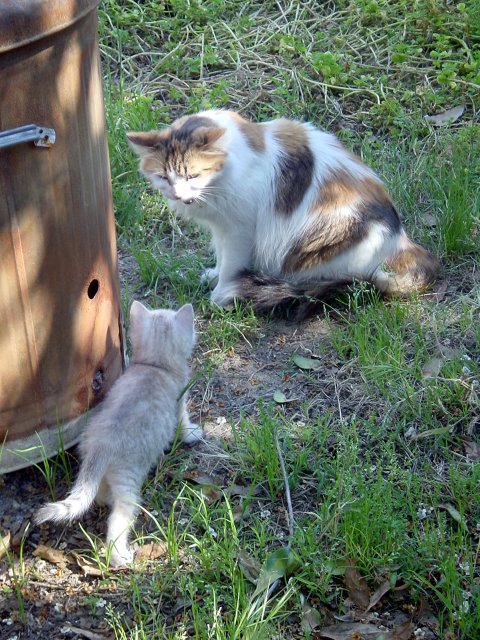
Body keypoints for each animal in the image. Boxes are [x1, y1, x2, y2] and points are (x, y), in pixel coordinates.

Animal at [34, 300, 202, 564]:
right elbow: (184, 424)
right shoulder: (180, 402)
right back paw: (119, 555)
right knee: (118, 519)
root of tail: (101, 446)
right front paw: (193, 434)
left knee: (99, 494)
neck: (155, 366)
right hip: (128, 481)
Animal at [128, 110, 438, 316]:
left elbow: (231, 266)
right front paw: (212, 275)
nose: (179, 195)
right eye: (163, 178)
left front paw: (220, 293)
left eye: (192, 175)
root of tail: (401, 241)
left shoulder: (239, 229)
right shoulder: (221, 227)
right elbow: (221, 258)